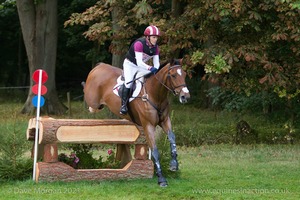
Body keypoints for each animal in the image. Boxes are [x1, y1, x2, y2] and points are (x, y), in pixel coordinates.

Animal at [82, 58, 190, 187]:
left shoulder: (165, 121)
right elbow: (154, 150)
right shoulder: (148, 125)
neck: (155, 94)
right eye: (173, 75)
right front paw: (161, 179)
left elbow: (172, 138)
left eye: (184, 74)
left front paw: (174, 164)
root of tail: (99, 66)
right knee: (91, 104)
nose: (185, 96)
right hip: (93, 101)